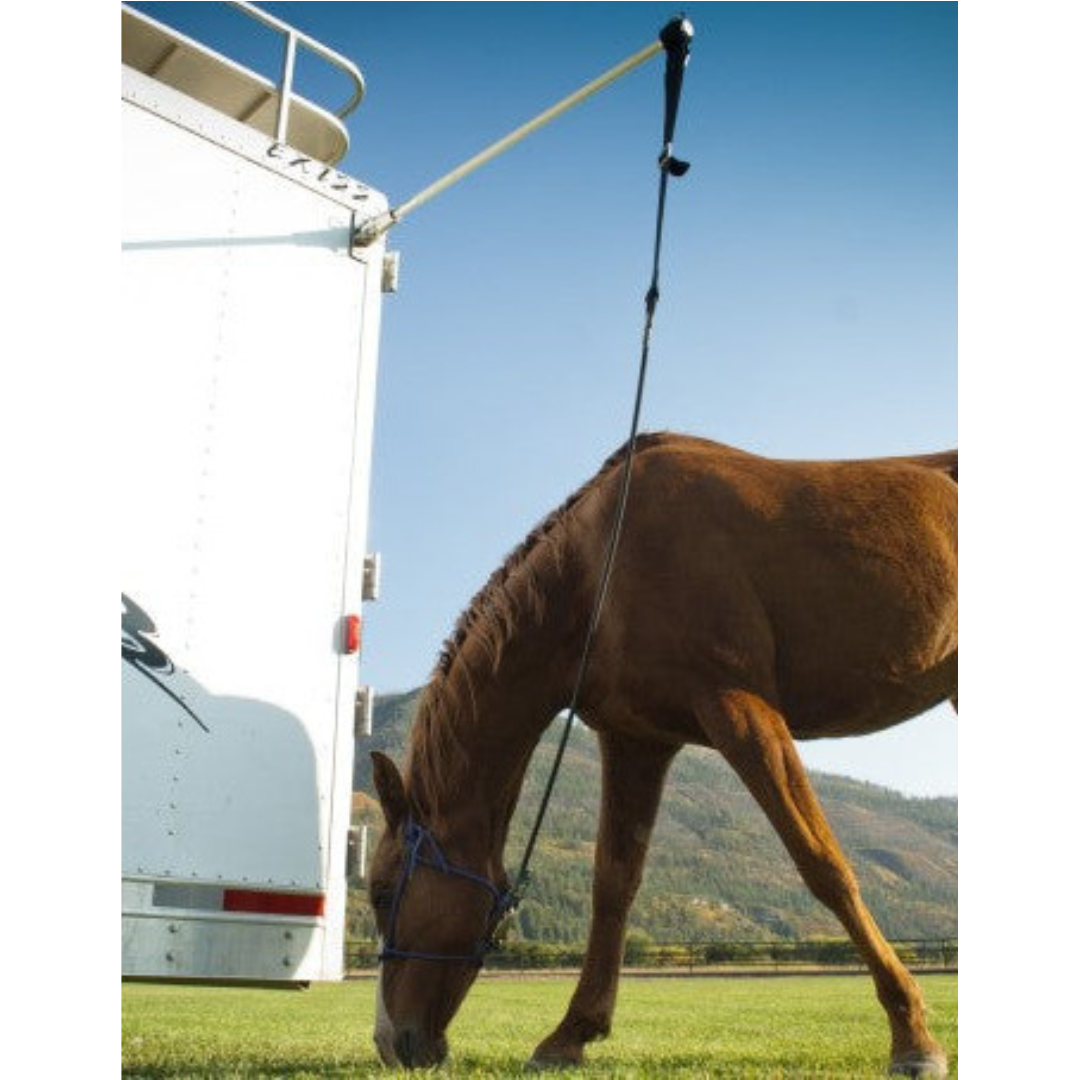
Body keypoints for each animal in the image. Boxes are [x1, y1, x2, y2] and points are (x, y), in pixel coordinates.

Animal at [368, 432, 958, 1075]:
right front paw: (571, 1032)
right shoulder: (636, 741)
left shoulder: (739, 710)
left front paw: (912, 1034)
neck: (600, 566)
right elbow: (613, 885)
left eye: (380, 892)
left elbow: (824, 865)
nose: (389, 1041)